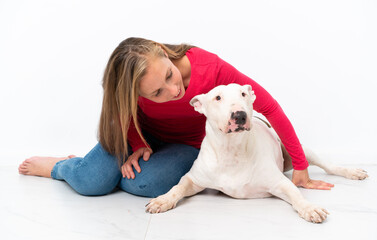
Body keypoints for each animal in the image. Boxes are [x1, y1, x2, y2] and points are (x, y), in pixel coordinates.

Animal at [145, 84, 368, 223]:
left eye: (243, 94)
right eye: (217, 97)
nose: (239, 115)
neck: (231, 150)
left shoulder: (280, 183)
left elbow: (296, 194)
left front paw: (310, 208)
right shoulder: (193, 179)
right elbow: (177, 187)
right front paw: (162, 200)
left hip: (299, 149)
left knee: (326, 166)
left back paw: (353, 172)